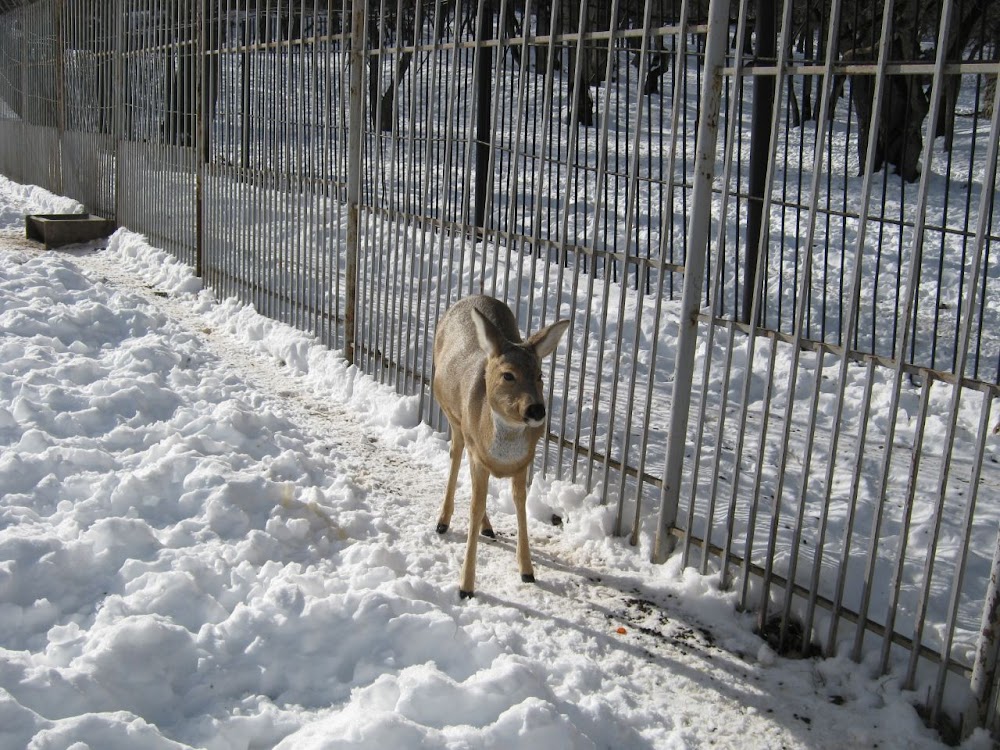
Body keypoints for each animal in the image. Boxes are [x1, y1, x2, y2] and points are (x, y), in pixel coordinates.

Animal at [432, 296, 568, 604]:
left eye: (540, 374)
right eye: (508, 375)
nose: (536, 410)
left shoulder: (524, 463)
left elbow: (520, 506)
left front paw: (527, 570)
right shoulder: (476, 452)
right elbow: (474, 506)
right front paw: (466, 586)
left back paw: (488, 526)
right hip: (452, 417)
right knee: (455, 456)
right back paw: (443, 521)